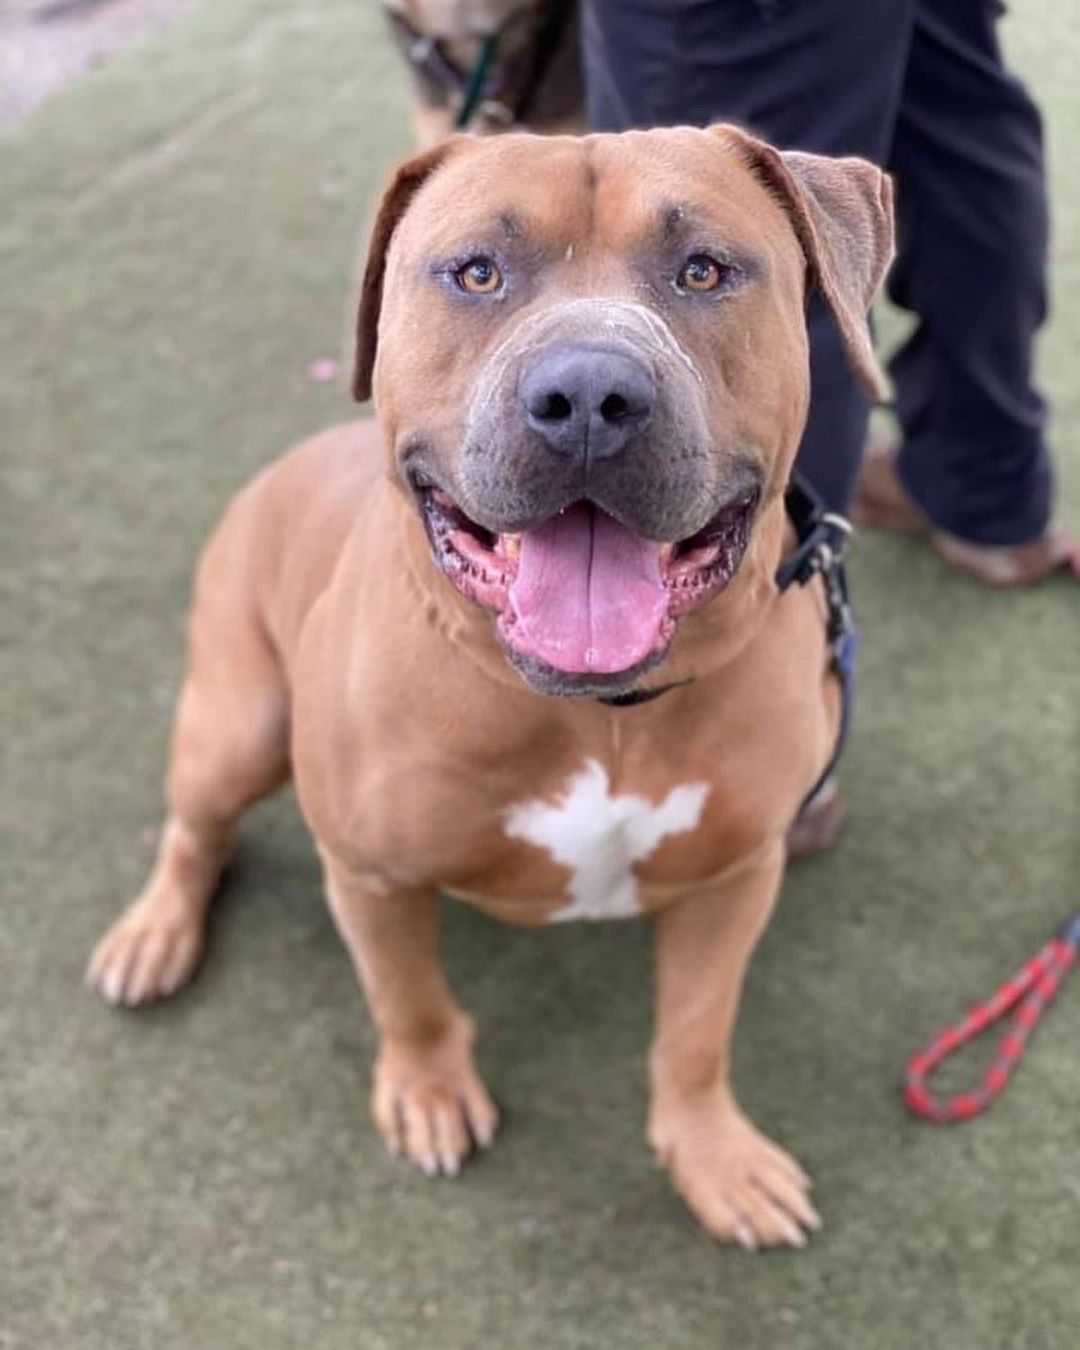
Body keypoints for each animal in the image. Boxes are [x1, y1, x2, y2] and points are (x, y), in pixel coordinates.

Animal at [88, 128, 891, 1252]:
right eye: (476, 273)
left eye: (704, 270)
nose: (591, 397)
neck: (597, 714)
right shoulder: (371, 876)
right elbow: (409, 997)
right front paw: (428, 1091)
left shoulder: (736, 877)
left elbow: (697, 1031)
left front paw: (713, 1155)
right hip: (235, 724)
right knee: (193, 829)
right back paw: (154, 934)